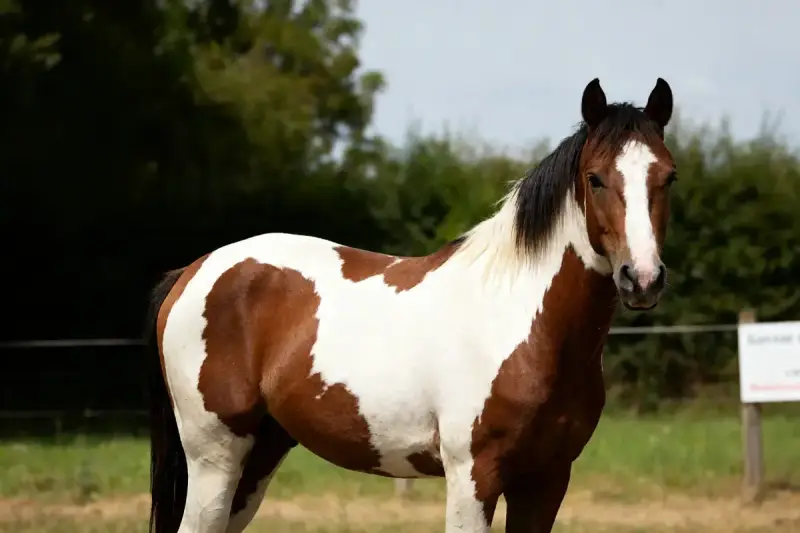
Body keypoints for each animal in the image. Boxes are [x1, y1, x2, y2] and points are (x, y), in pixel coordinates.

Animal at [146, 77, 677, 533]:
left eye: (668, 178)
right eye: (595, 178)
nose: (642, 278)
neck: (523, 326)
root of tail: (192, 271)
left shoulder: (547, 480)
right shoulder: (473, 477)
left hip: (259, 455)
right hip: (215, 456)